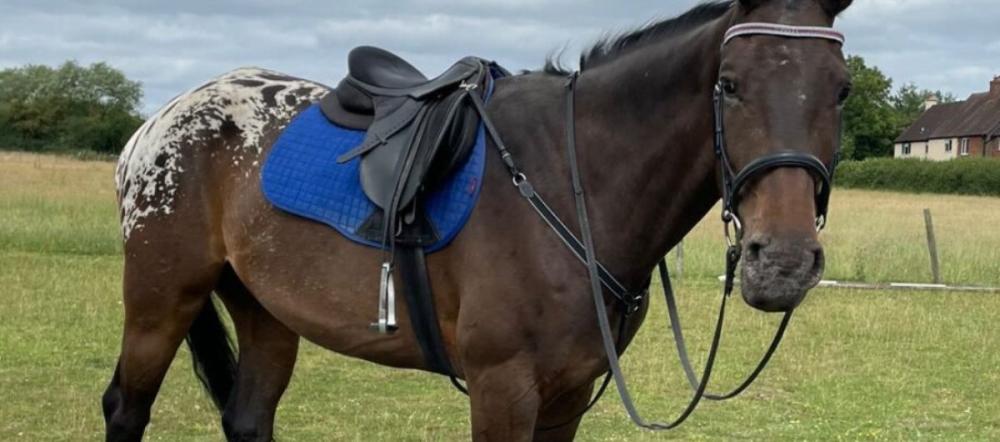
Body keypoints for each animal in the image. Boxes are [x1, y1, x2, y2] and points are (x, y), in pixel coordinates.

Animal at [102, 0, 853, 440]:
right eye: (729, 85)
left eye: (843, 89)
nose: (783, 262)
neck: (570, 180)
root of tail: (160, 121)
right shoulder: (502, 389)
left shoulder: (569, 393)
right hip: (162, 297)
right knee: (125, 406)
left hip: (265, 310)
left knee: (248, 417)